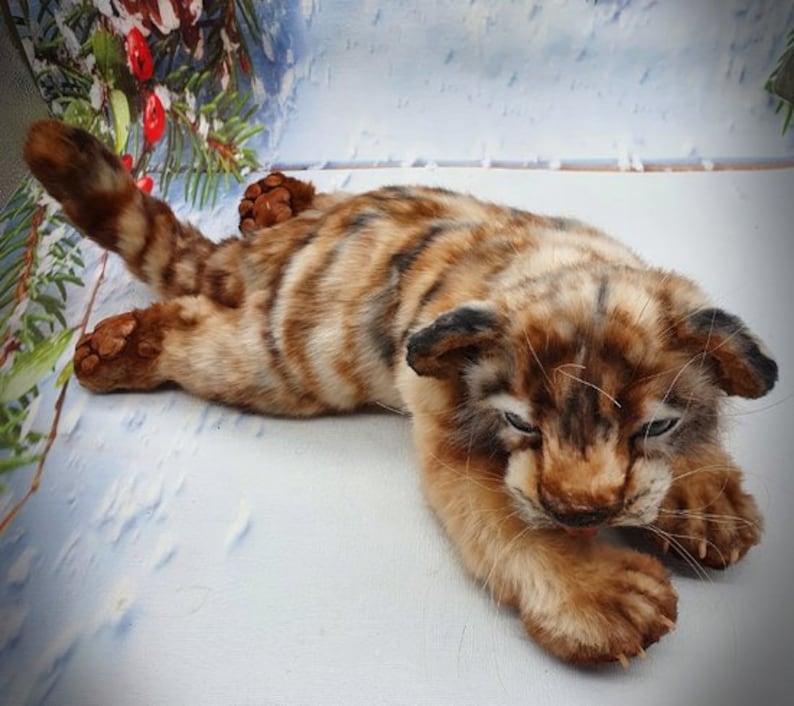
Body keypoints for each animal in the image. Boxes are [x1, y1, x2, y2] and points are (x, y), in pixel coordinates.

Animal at [22, 119, 777, 666]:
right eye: (522, 425)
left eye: (652, 428)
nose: (582, 512)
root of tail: (270, 252)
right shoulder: (452, 446)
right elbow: (508, 525)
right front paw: (603, 597)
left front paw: (706, 501)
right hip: (278, 362)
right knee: (190, 327)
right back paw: (117, 346)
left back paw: (272, 198)